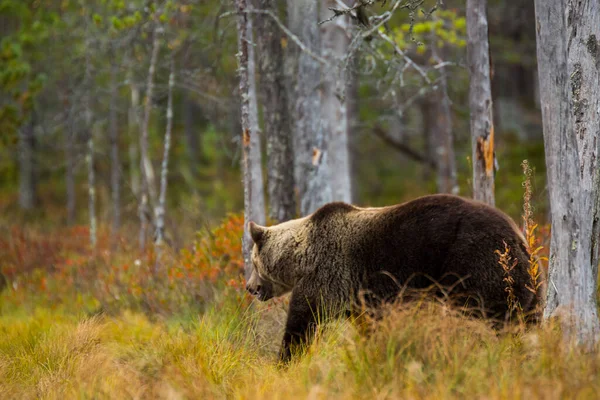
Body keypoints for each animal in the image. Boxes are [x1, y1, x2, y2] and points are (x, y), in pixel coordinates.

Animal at [246, 194, 536, 362]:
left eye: (252, 261)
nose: (250, 287)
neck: (301, 258)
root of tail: (517, 236)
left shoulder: (329, 273)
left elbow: (303, 320)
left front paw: (286, 359)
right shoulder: (359, 296)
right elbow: (368, 326)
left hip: (472, 263)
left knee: (492, 316)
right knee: (524, 317)